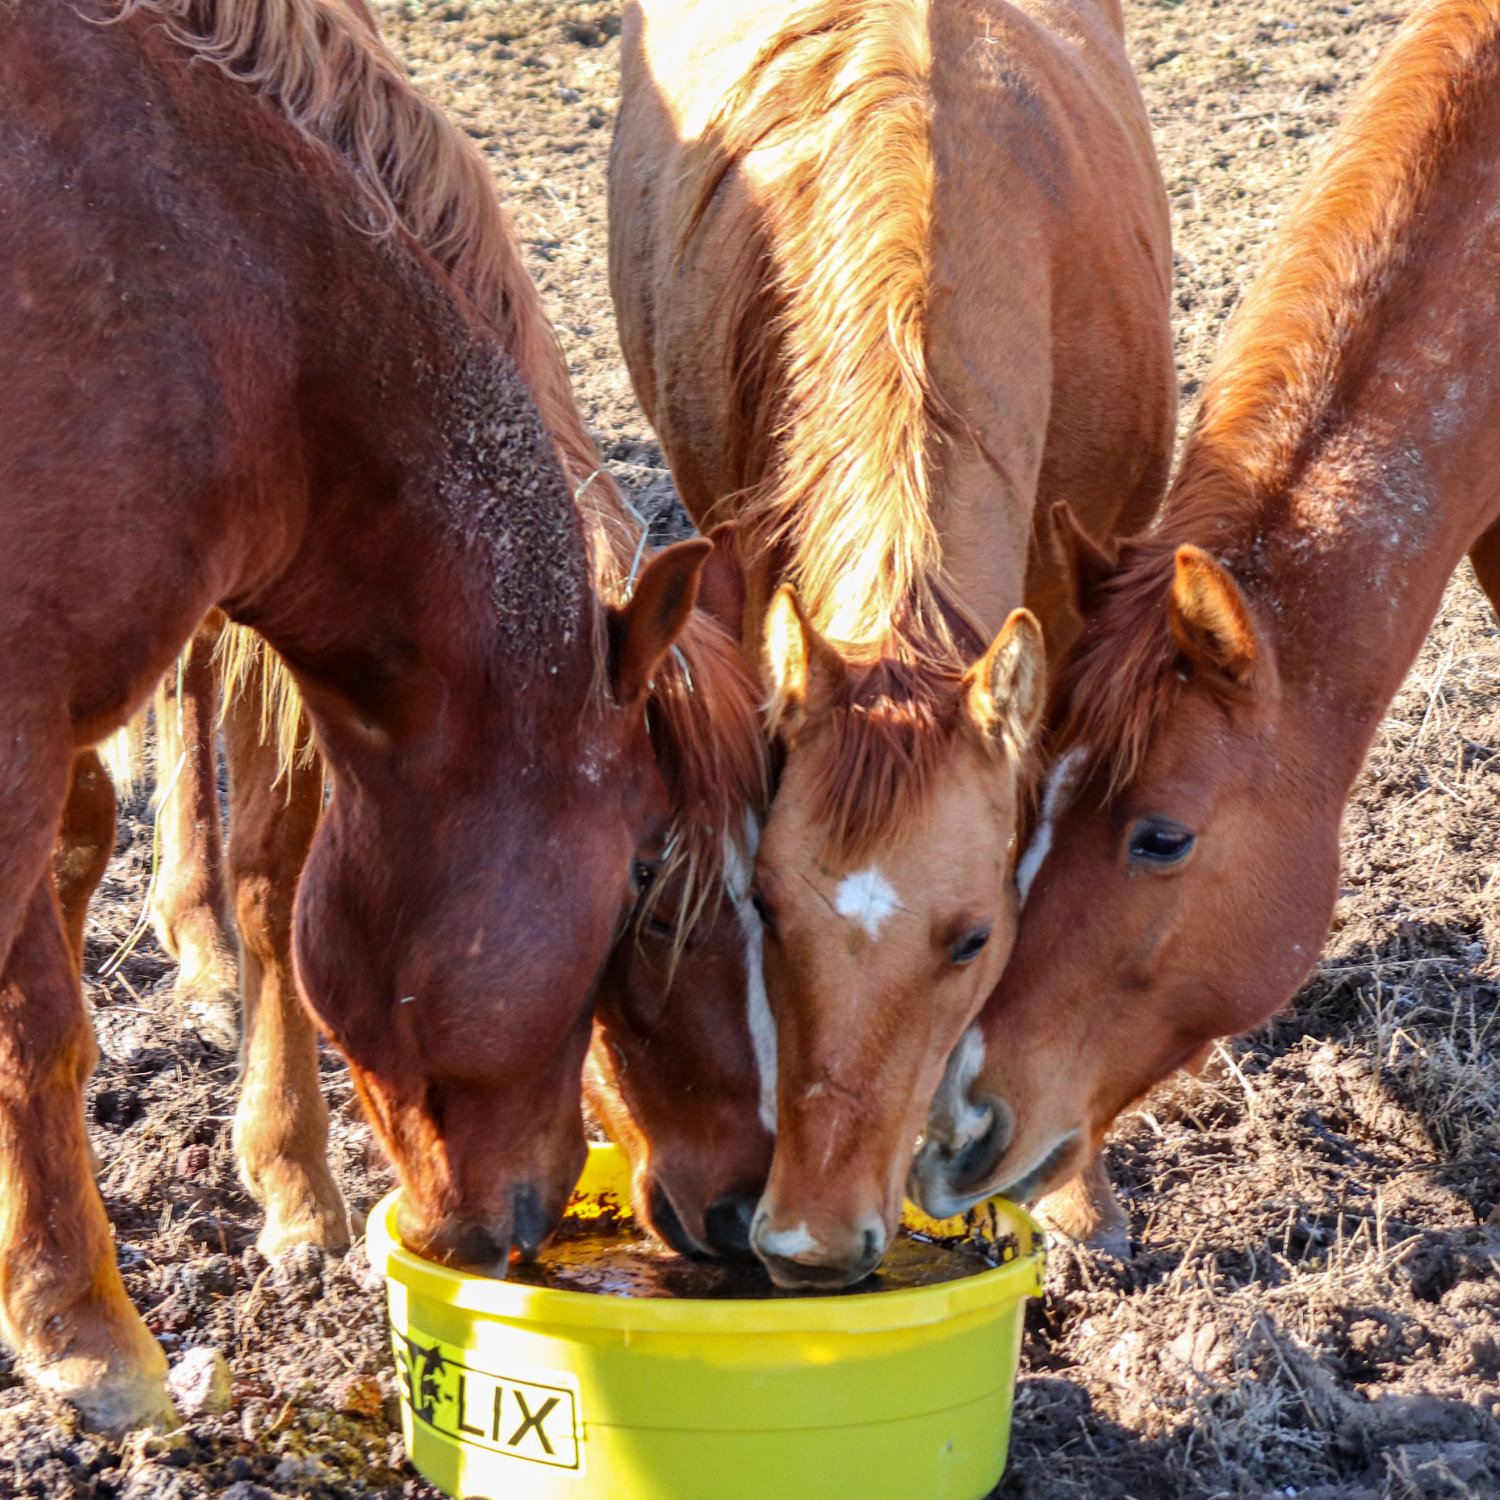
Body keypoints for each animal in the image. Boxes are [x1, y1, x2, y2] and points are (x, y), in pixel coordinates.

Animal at [1, 0, 732, 1434]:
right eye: (640, 885)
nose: (530, 1220)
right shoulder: (16, 723)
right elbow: (39, 1028)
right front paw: (80, 1330)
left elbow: (250, 885)